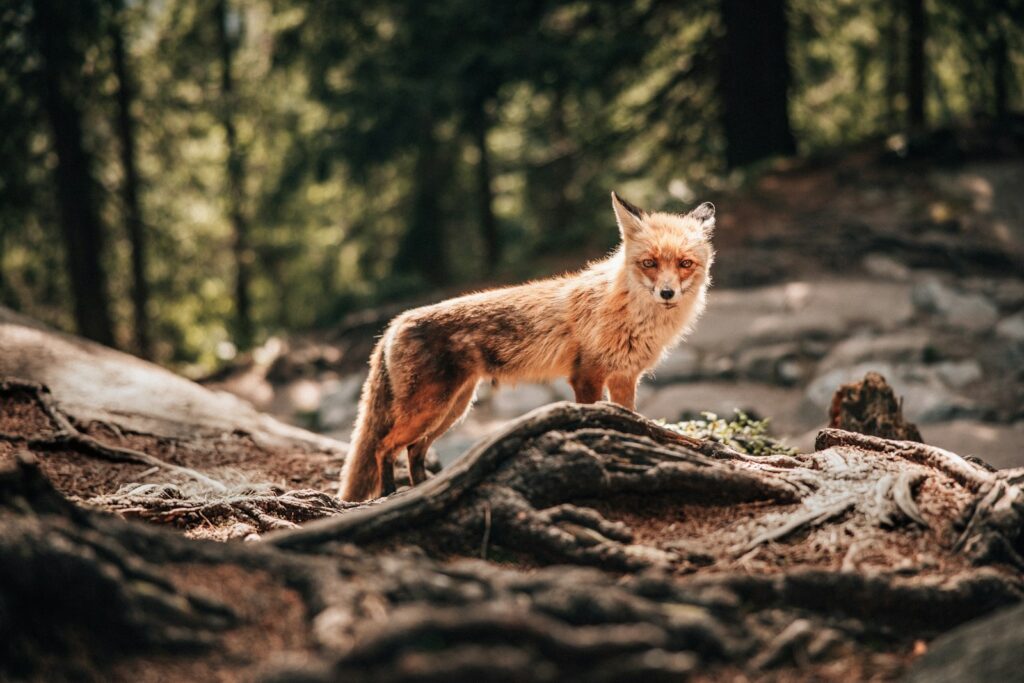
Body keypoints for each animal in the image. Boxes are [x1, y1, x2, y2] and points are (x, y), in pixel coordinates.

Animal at [339, 192, 716, 501]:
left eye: (685, 264)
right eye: (649, 263)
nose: (667, 293)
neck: (628, 314)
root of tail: (395, 322)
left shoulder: (624, 377)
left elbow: (634, 421)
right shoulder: (587, 376)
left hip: (452, 409)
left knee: (414, 451)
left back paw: (424, 490)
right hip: (430, 408)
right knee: (384, 447)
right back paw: (389, 494)